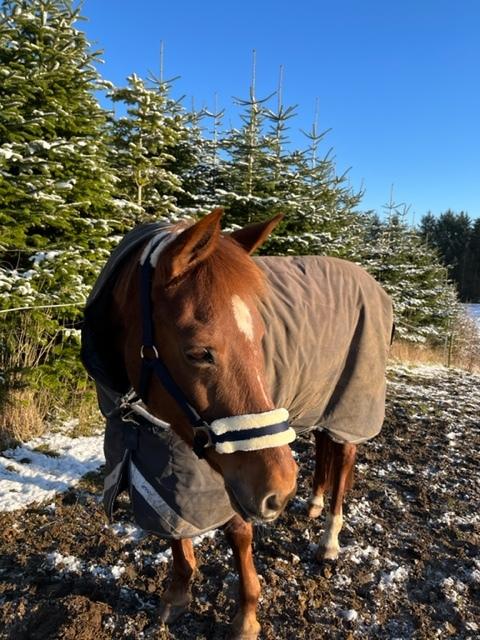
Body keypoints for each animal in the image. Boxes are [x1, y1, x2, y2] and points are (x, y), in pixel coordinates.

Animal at [80, 208, 392, 636]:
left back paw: (329, 540)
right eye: (198, 352)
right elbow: (176, 530)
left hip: (349, 406)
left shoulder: (234, 473)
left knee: (343, 461)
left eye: (261, 337)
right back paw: (312, 504)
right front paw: (177, 595)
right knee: (323, 450)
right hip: (319, 403)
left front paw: (246, 616)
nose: (281, 491)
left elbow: (239, 533)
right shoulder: (167, 463)